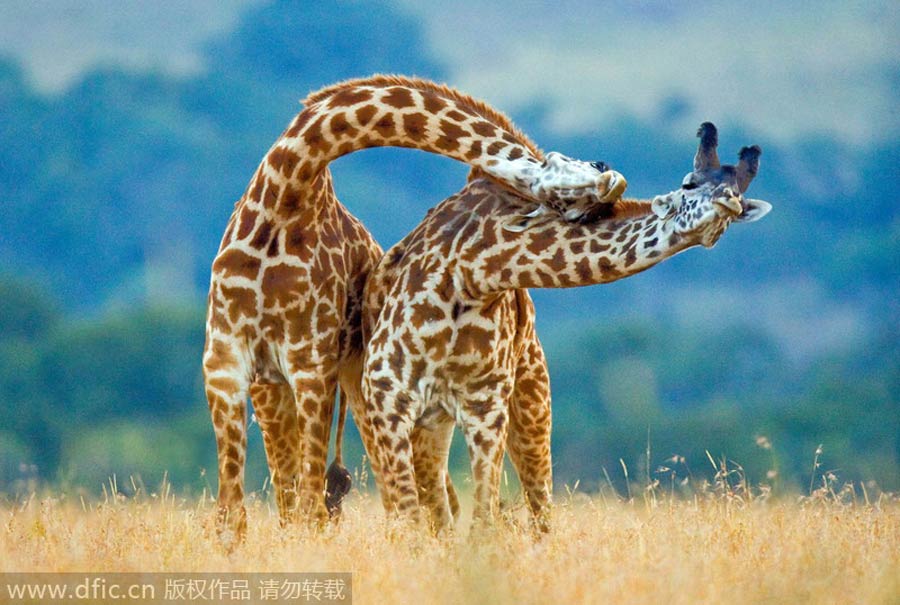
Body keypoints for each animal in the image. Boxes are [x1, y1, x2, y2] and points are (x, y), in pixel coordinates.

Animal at [202, 74, 621, 547]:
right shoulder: (224, 361)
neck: (284, 198)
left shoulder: (310, 363)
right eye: (564, 194)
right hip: (293, 391)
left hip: (520, 391)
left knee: (528, 500)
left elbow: (312, 504)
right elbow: (234, 515)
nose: (611, 180)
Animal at [360, 122, 772, 531]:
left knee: (529, 509)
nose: (727, 203)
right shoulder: (388, 395)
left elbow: (482, 520)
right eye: (689, 183)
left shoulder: (484, 406)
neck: (476, 270)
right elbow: (409, 516)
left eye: (741, 198)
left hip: (524, 404)